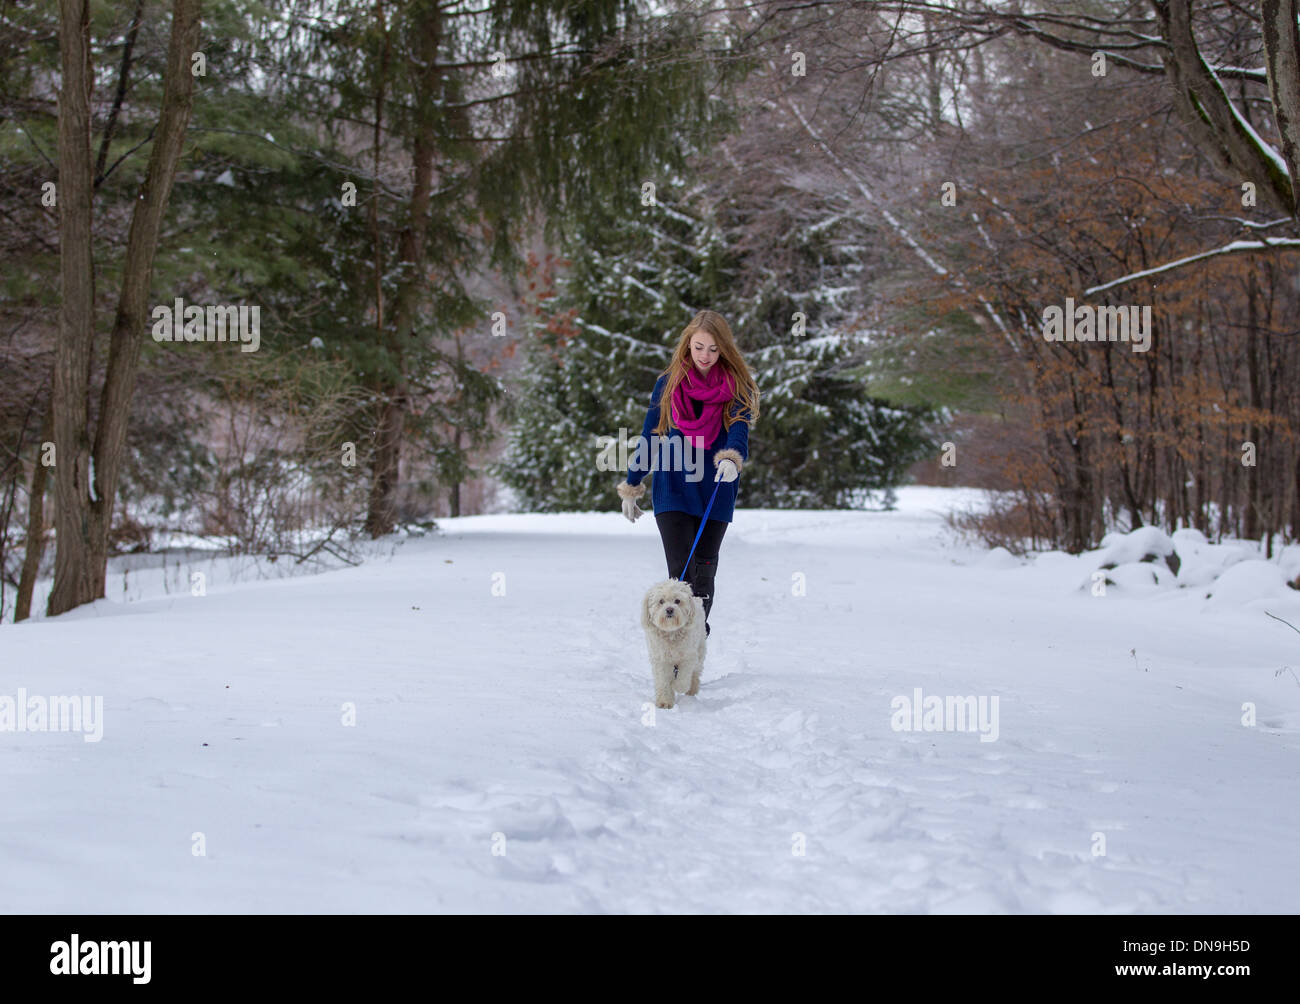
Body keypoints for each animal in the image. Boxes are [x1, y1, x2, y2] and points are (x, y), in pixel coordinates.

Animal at [637, 577, 707, 707]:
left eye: (677, 601)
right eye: (661, 601)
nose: (669, 609)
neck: (671, 632)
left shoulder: (688, 658)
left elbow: (683, 678)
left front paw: (678, 686)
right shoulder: (660, 660)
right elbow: (663, 681)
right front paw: (665, 702)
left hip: (699, 650)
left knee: (695, 672)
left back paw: (692, 689)